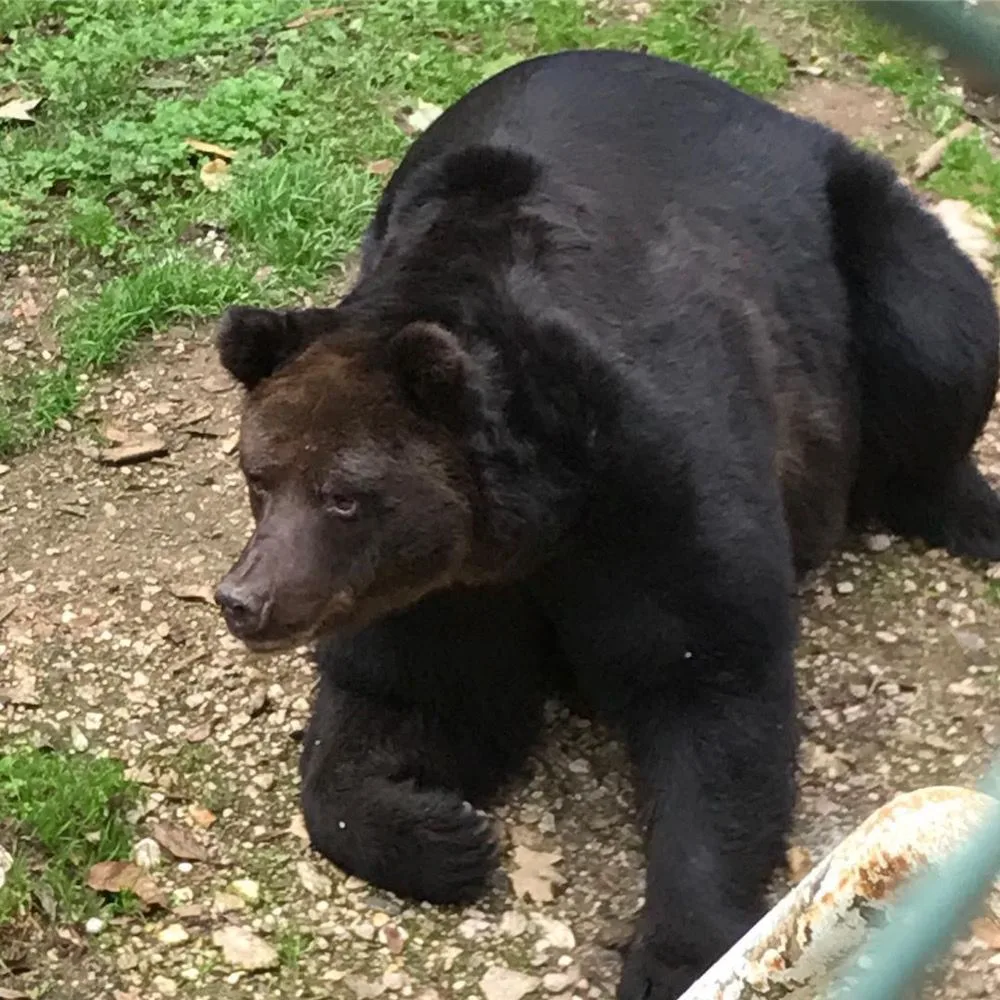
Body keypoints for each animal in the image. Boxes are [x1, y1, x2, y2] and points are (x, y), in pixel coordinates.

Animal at [211, 50, 1000, 1000]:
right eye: (259, 475)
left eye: (343, 495)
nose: (245, 597)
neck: (531, 520)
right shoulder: (442, 590)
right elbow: (404, 704)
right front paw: (445, 834)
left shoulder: (653, 489)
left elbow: (708, 683)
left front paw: (675, 951)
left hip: (857, 246)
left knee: (933, 332)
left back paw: (967, 508)